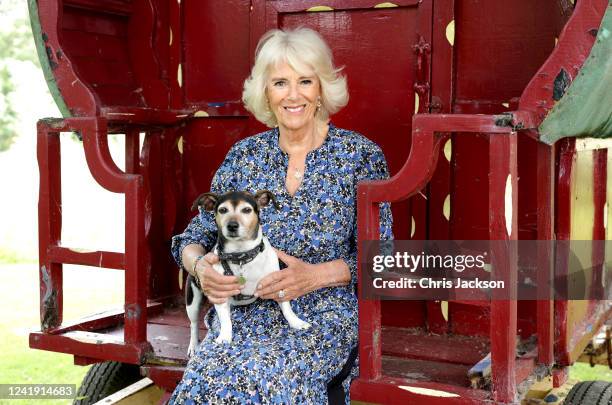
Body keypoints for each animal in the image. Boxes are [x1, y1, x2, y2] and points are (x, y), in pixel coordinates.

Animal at [185, 190, 310, 354]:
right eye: (223, 210)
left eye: (246, 210)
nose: (232, 225)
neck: (241, 256)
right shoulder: (219, 293)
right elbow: (225, 320)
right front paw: (225, 336)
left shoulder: (277, 284)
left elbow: (286, 307)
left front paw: (296, 322)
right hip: (192, 301)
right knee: (193, 324)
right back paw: (193, 345)